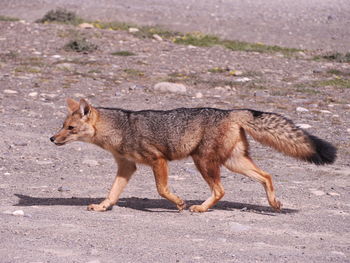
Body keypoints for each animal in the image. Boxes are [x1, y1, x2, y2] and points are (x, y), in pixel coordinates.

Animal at [50, 99, 336, 214]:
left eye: (70, 128)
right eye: (62, 126)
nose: (52, 139)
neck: (119, 129)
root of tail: (231, 111)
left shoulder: (158, 160)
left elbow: (162, 189)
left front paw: (179, 203)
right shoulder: (127, 167)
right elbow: (112, 192)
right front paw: (102, 206)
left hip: (204, 162)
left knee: (221, 190)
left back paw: (200, 208)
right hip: (233, 162)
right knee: (266, 175)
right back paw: (274, 203)